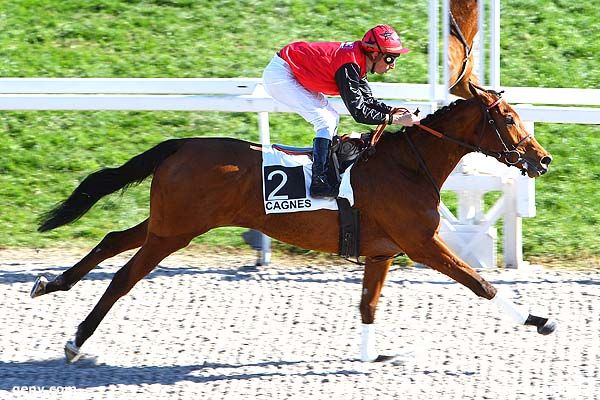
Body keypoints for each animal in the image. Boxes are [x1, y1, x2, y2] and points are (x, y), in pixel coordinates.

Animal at [30, 83, 556, 364]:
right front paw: (537, 318)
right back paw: (76, 340)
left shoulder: (382, 250)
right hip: (174, 232)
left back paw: (50, 284)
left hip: (168, 223)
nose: (543, 159)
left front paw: (371, 354)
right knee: (123, 277)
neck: (408, 165)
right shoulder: (422, 244)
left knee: (112, 240)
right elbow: (479, 284)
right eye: (509, 119)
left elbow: (368, 305)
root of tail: (181, 145)